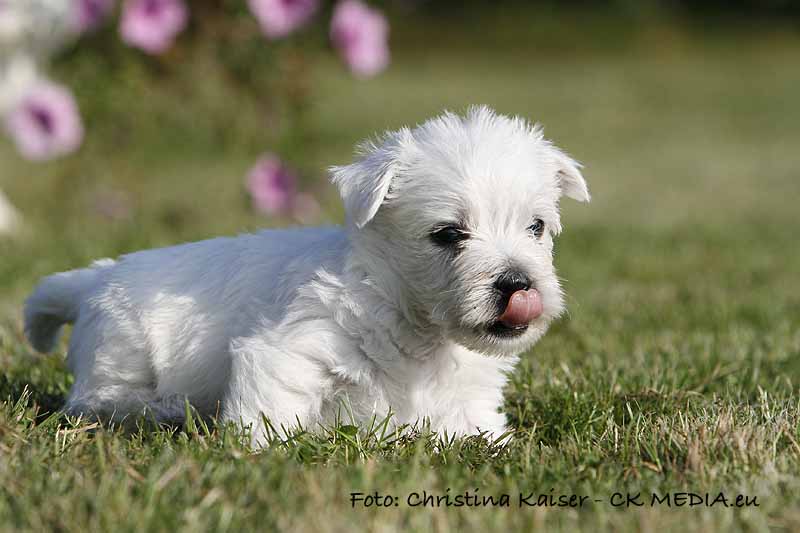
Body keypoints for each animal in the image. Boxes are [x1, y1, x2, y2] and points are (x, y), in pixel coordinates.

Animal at [25, 106, 588, 442]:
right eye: (449, 233)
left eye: (536, 226)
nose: (518, 284)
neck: (416, 325)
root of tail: (97, 277)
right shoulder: (293, 350)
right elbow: (267, 413)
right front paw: (251, 455)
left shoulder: (469, 395)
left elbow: (479, 432)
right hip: (121, 353)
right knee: (96, 402)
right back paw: (163, 412)